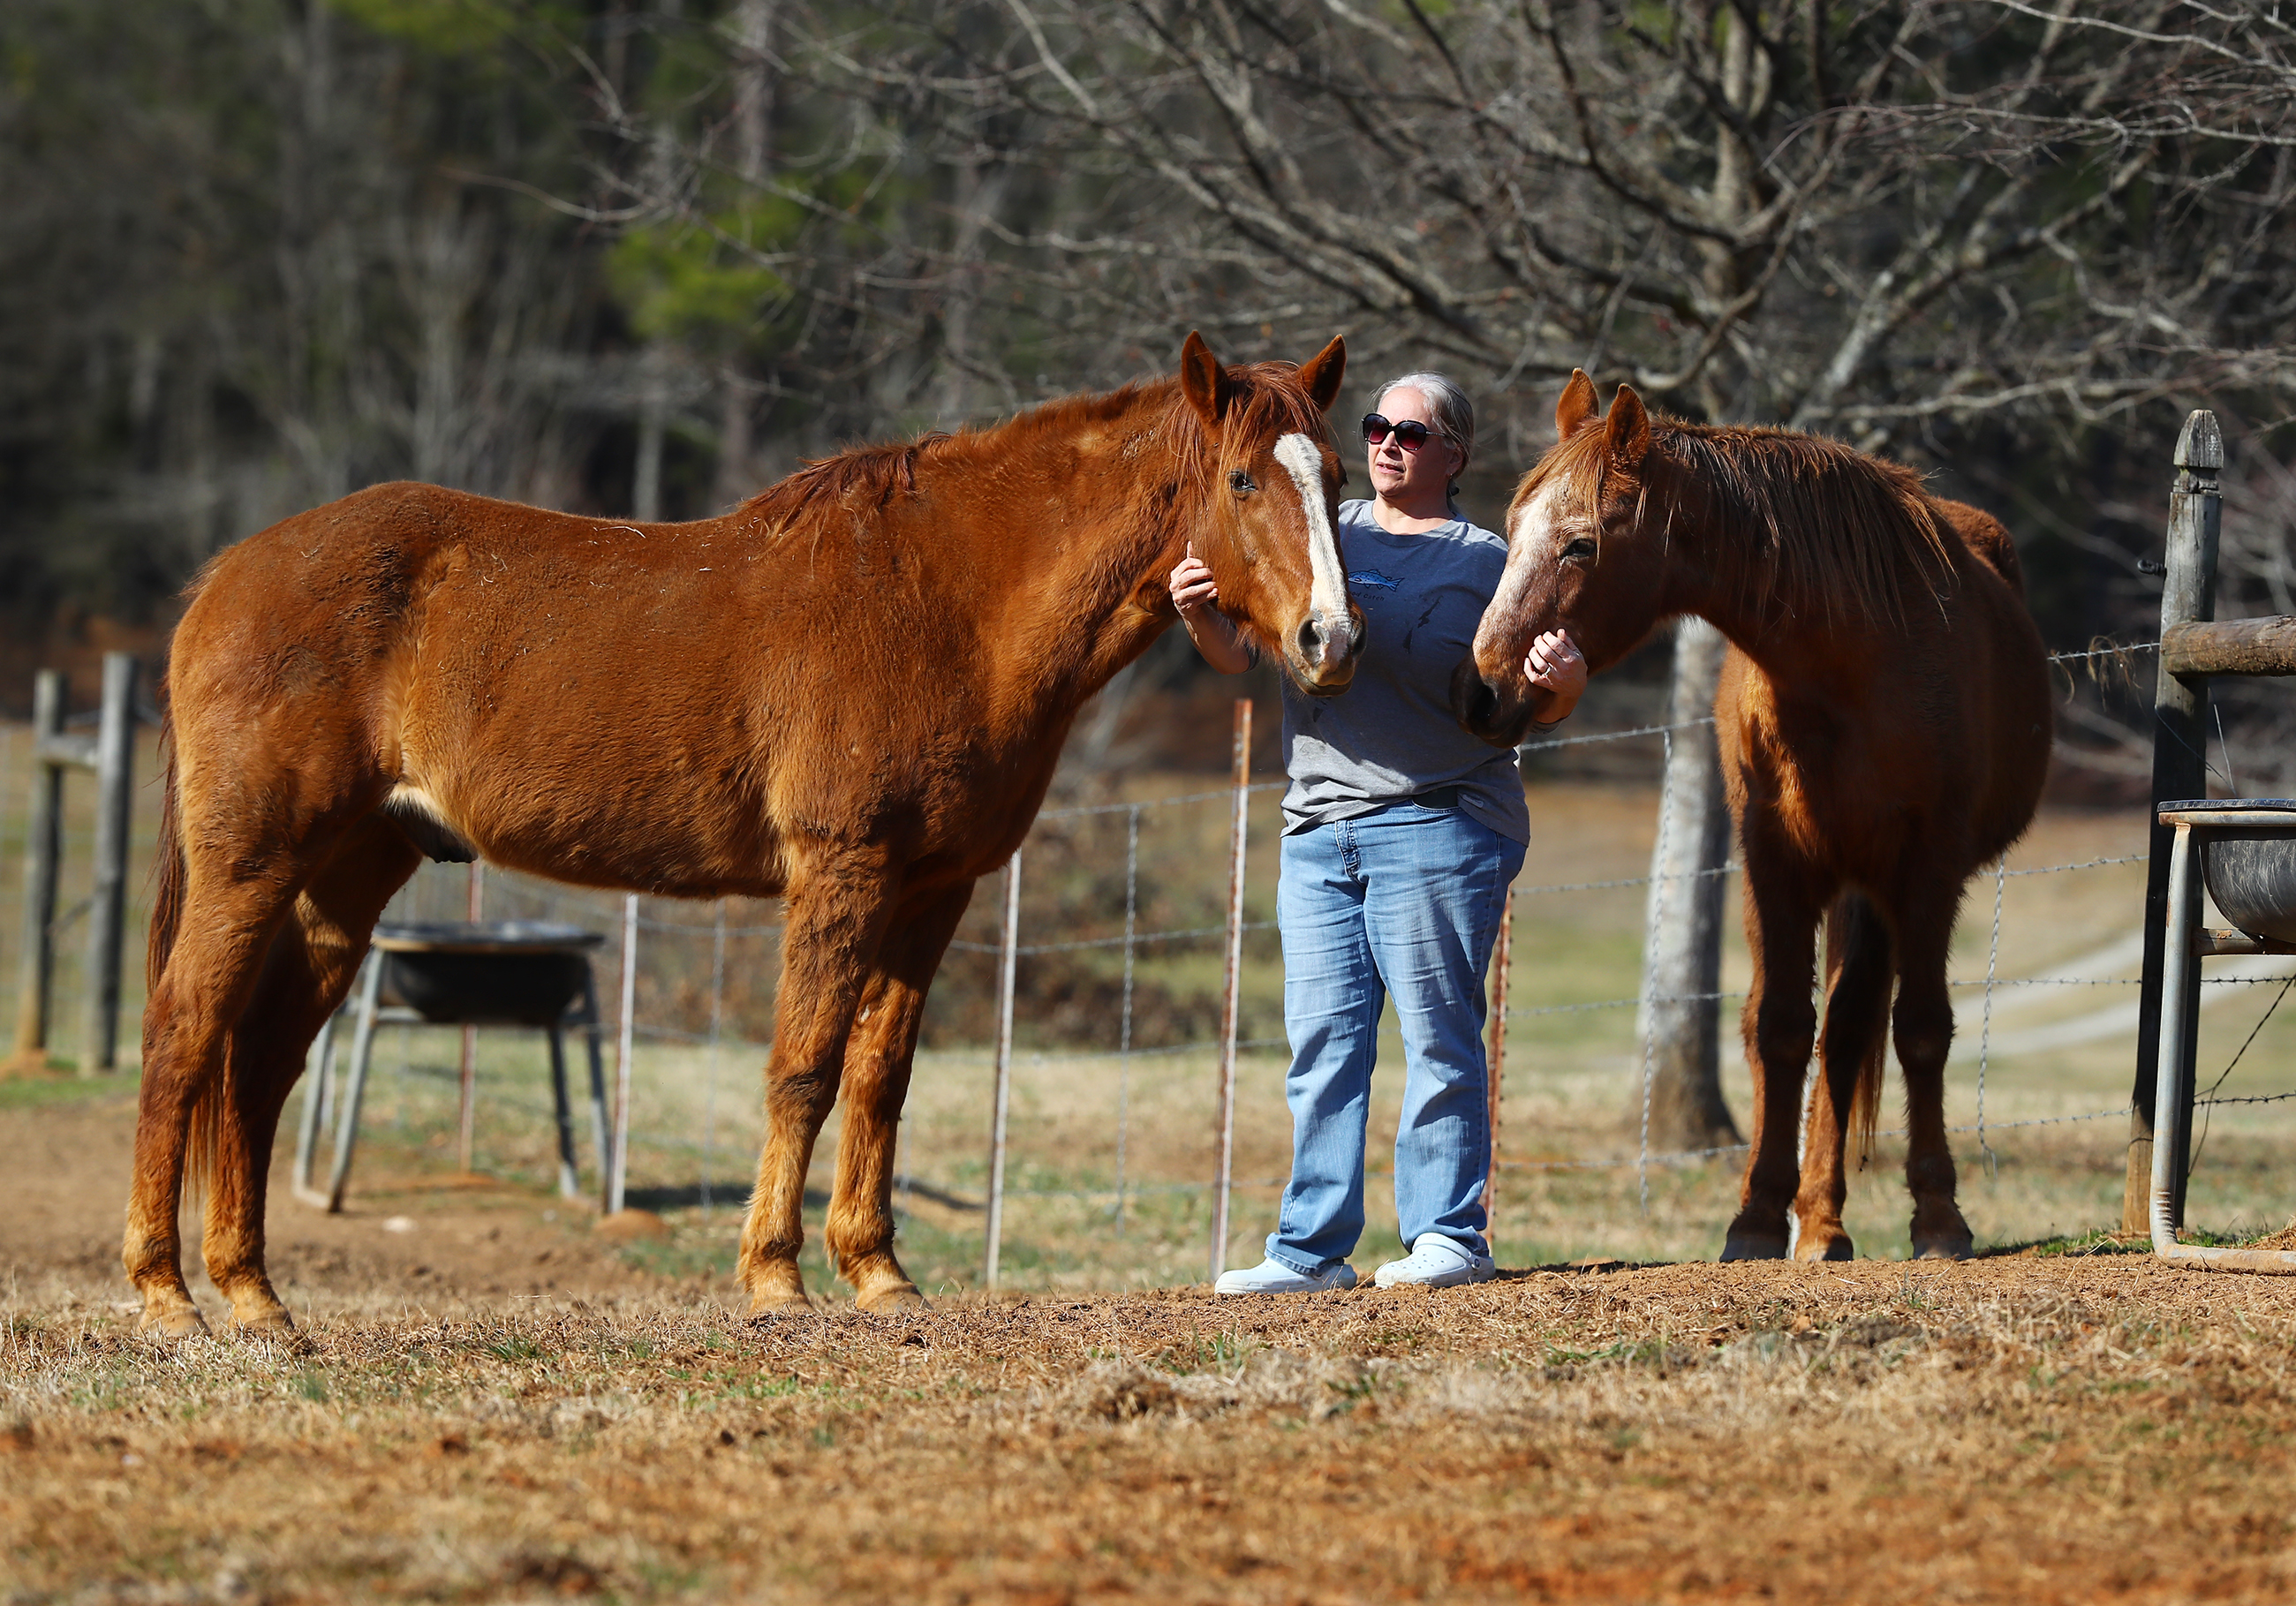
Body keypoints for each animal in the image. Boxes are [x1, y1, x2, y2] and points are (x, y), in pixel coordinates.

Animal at [134, 332, 1349, 1339]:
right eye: (1243, 478)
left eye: (1336, 476)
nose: (1330, 639)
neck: (949, 598)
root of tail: (224, 577)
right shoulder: (840, 868)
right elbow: (802, 1068)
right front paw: (775, 1275)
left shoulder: (935, 888)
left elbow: (880, 1074)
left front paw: (878, 1273)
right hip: (250, 868)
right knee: (185, 1035)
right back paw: (166, 1294)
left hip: (346, 874)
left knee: (259, 1061)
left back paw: (254, 1296)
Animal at [1451, 373, 2048, 1257]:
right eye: (1514, 529)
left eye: (1581, 544)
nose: (1482, 692)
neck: (1856, 662)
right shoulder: (1775, 860)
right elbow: (1780, 1027)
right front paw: (1759, 1216)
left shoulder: (1927, 868)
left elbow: (1921, 1028)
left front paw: (1939, 1217)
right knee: (1830, 1033)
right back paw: (1819, 1220)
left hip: (1875, 888)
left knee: (1859, 1029)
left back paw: (1834, 1217)